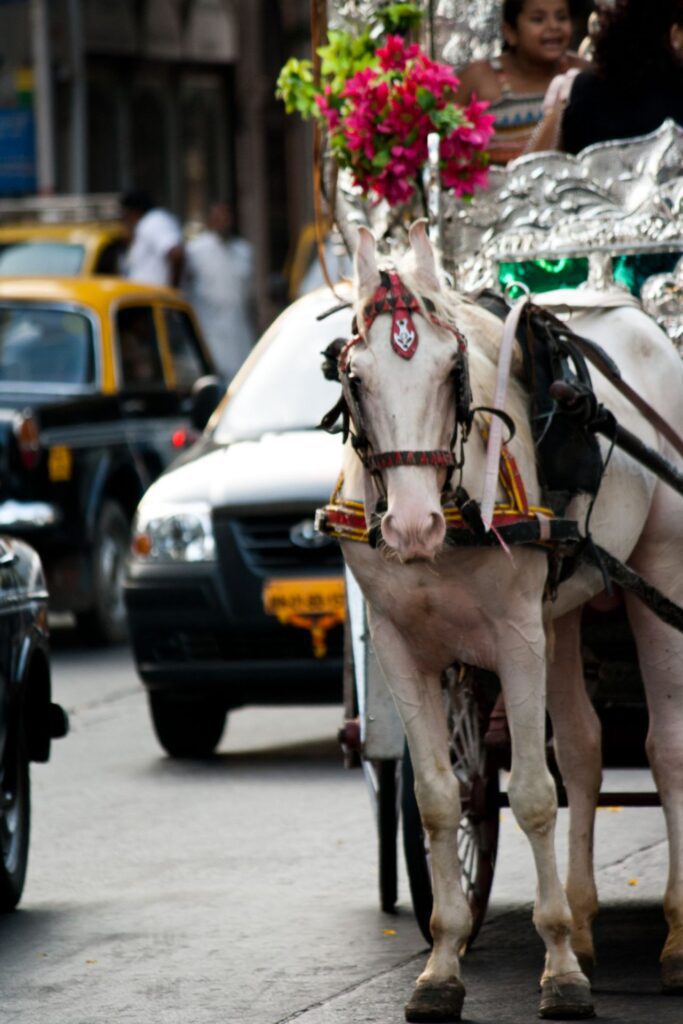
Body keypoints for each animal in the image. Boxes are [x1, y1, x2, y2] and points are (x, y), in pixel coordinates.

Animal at [333, 220, 683, 1019]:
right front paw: (442, 965)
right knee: (582, 749)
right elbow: (440, 800)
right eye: (355, 378)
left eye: (450, 372)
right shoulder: (402, 648)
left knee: (667, 750)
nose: (411, 526)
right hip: (562, 610)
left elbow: (530, 795)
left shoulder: (516, 640)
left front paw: (558, 971)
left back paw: (675, 936)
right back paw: (583, 919)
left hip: (661, 569)